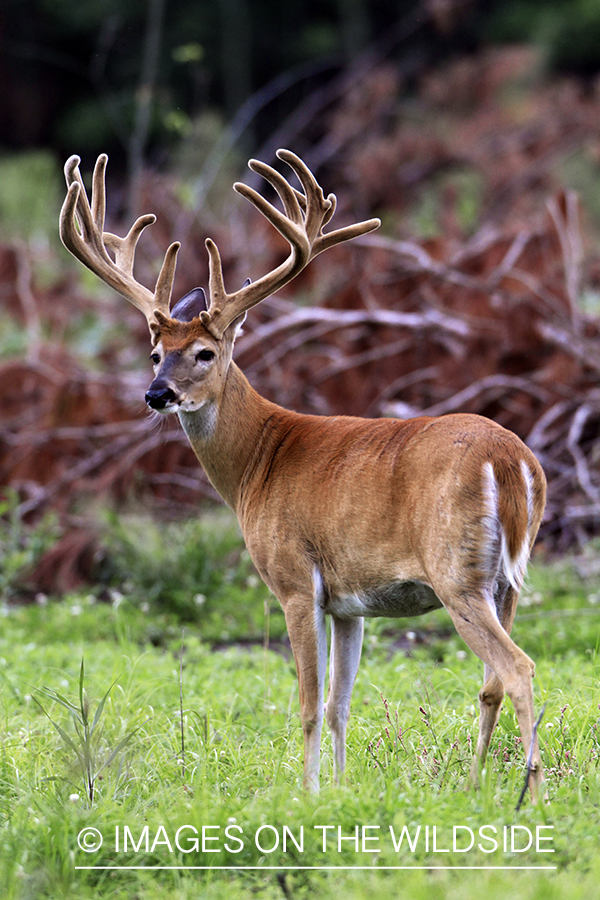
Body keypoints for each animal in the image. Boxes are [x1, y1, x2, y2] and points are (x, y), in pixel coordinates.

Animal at [61, 149, 548, 800]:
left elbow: (309, 704)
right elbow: (341, 704)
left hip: (457, 572)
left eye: (205, 353)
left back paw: (530, 793)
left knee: (516, 666)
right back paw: (473, 785)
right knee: (492, 680)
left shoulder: (295, 579)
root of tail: (512, 462)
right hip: (507, 581)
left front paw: (308, 794)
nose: (156, 394)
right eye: (155, 353)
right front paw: (341, 790)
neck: (258, 462)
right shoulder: (351, 603)